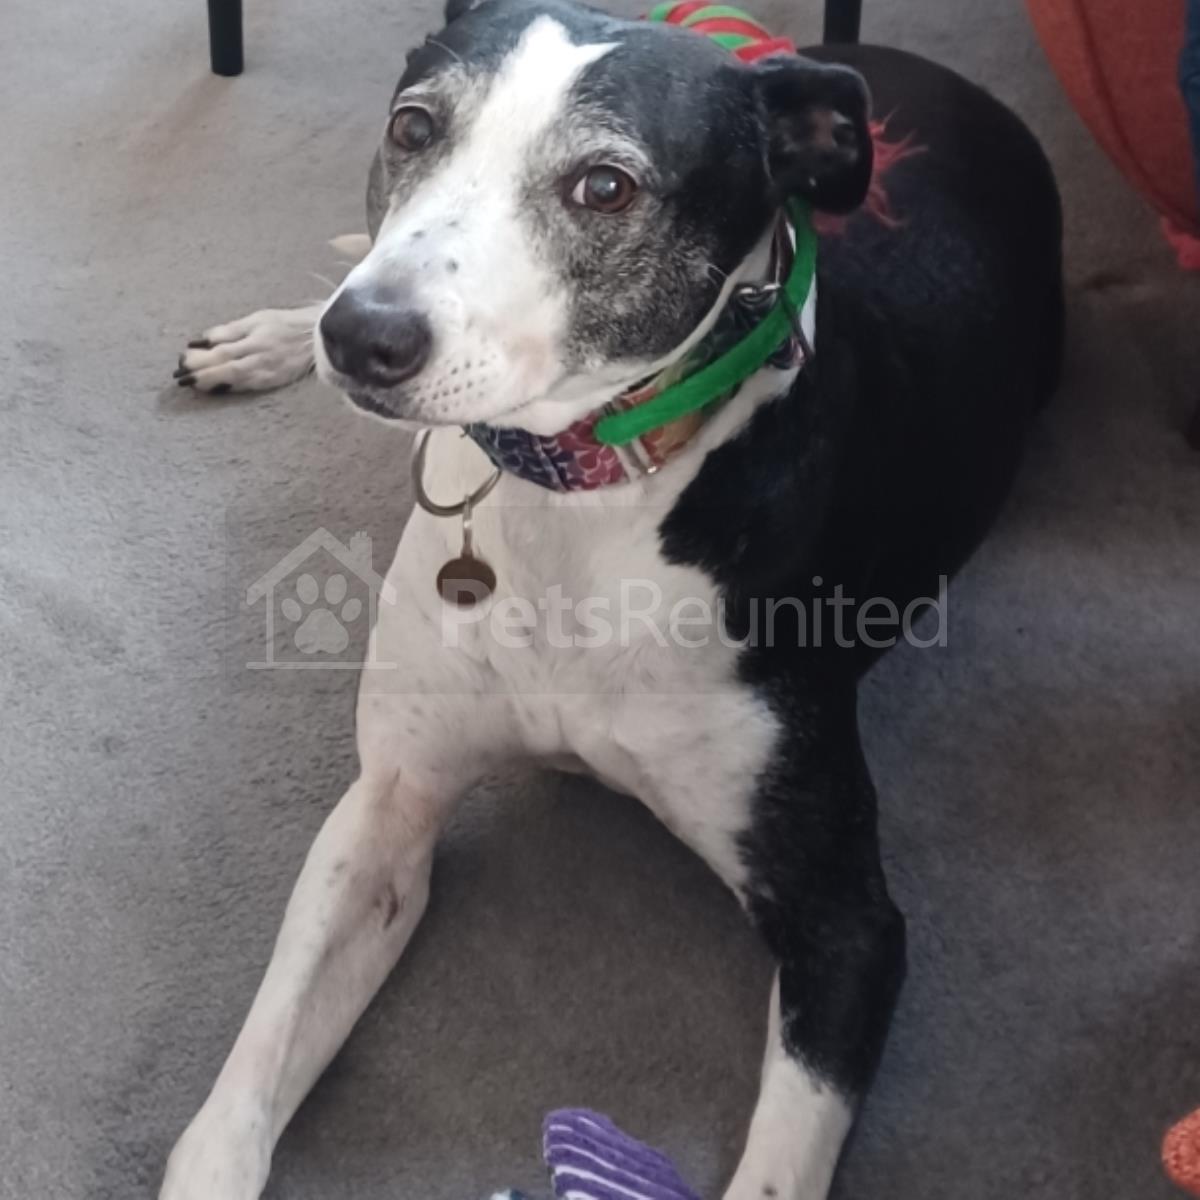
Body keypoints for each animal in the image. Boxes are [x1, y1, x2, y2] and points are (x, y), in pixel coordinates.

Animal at [161, 2, 1063, 1197]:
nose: (365, 338)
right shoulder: (388, 808)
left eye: (605, 186)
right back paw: (271, 337)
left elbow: (778, 1165)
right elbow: (238, 1099)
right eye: (414, 126)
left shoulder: (846, 926)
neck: (577, 491)